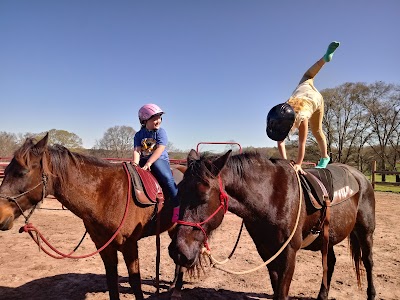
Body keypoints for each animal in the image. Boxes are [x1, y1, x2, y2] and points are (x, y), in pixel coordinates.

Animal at [0, 135, 184, 300]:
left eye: (22, 172)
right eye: (6, 171)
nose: (1, 215)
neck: (107, 194)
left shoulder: (130, 245)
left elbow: (135, 283)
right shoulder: (104, 245)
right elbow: (112, 282)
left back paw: (176, 289)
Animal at [170, 150, 376, 300]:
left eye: (203, 196)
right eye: (178, 192)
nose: (178, 251)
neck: (270, 197)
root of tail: (361, 177)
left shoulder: (289, 253)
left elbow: (281, 293)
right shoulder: (266, 251)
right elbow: (275, 287)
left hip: (365, 232)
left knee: (368, 261)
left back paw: (371, 294)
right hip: (328, 237)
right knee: (330, 262)